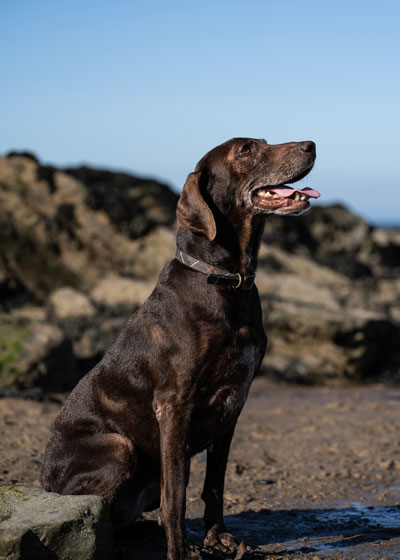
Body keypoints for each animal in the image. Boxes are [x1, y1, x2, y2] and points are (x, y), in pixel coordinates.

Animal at [42, 137, 318, 560]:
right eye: (246, 150)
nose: (311, 145)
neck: (225, 280)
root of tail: (42, 484)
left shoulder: (232, 405)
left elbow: (214, 485)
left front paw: (217, 539)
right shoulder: (173, 404)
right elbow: (177, 492)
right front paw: (180, 549)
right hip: (119, 446)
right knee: (97, 509)